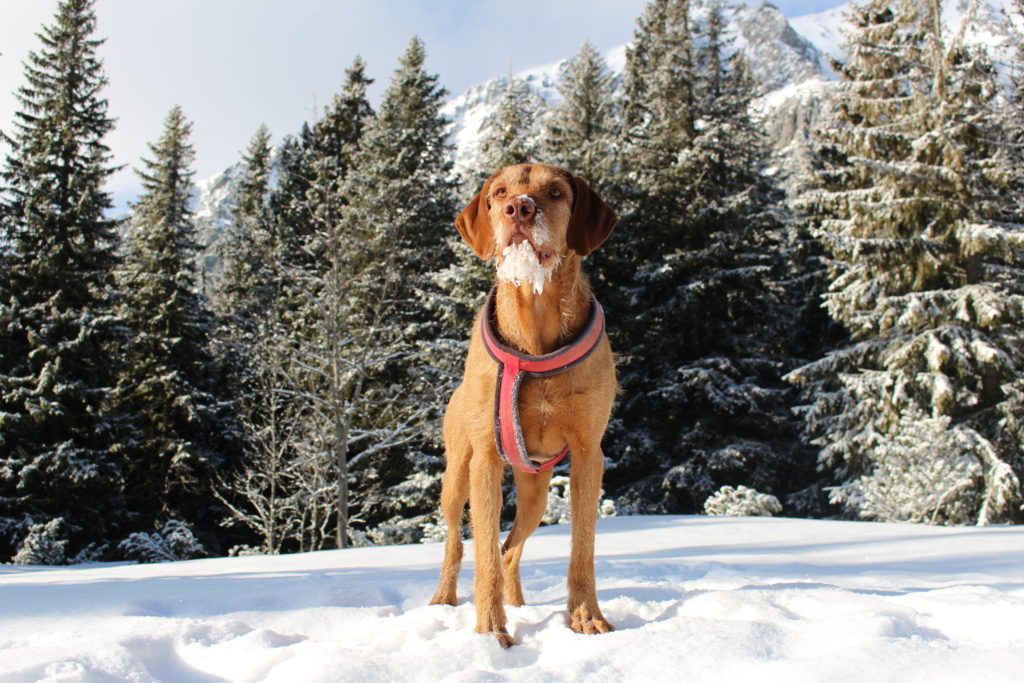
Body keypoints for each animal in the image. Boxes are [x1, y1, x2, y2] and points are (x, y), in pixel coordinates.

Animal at [430, 162, 614, 651]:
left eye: (556, 192)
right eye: (498, 193)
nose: (520, 209)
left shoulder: (588, 455)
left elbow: (582, 546)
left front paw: (586, 616)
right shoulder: (486, 461)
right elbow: (483, 556)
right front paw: (491, 629)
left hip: (536, 492)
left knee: (511, 546)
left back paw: (517, 602)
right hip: (457, 477)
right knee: (457, 541)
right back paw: (443, 599)